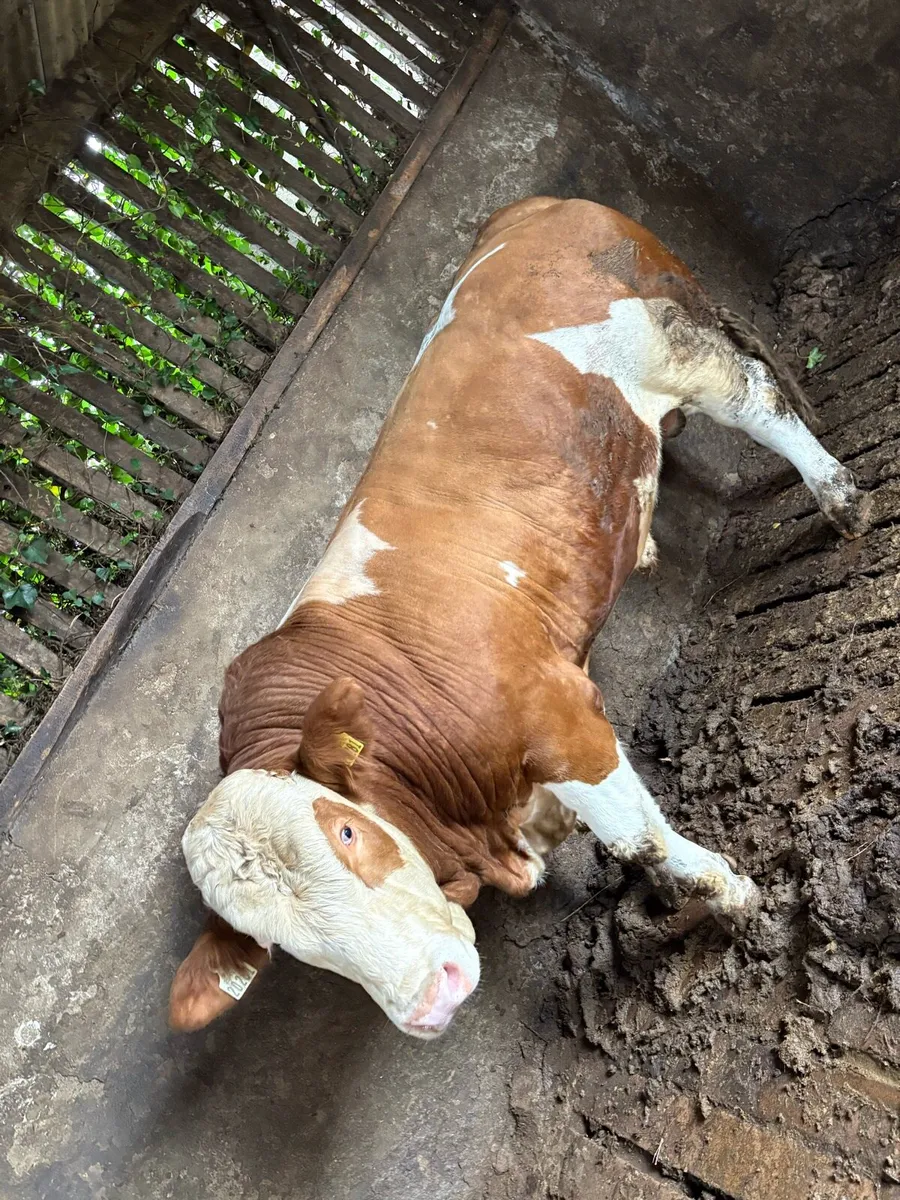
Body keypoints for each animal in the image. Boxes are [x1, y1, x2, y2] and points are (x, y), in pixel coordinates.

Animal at [169, 197, 869, 1039]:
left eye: (346, 831)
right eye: (284, 949)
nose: (429, 1000)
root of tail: (540, 206)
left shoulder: (560, 715)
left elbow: (639, 841)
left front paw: (731, 897)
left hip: (673, 348)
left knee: (757, 399)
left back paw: (839, 498)